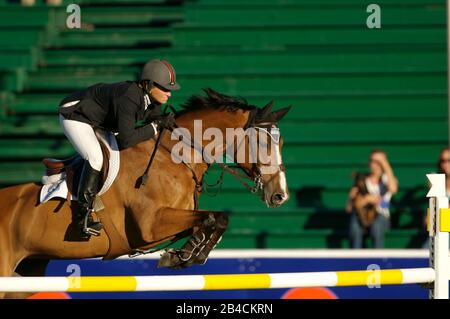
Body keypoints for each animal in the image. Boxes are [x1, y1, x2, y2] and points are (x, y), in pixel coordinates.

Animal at [0, 89, 290, 298]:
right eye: (263, 142)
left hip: (25, 276)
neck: (174, 157)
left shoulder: (175, 220)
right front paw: (182, 255)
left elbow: (216, 219)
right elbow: (212, 217)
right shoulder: (149, 226)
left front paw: (186, 254)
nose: (280, 195)